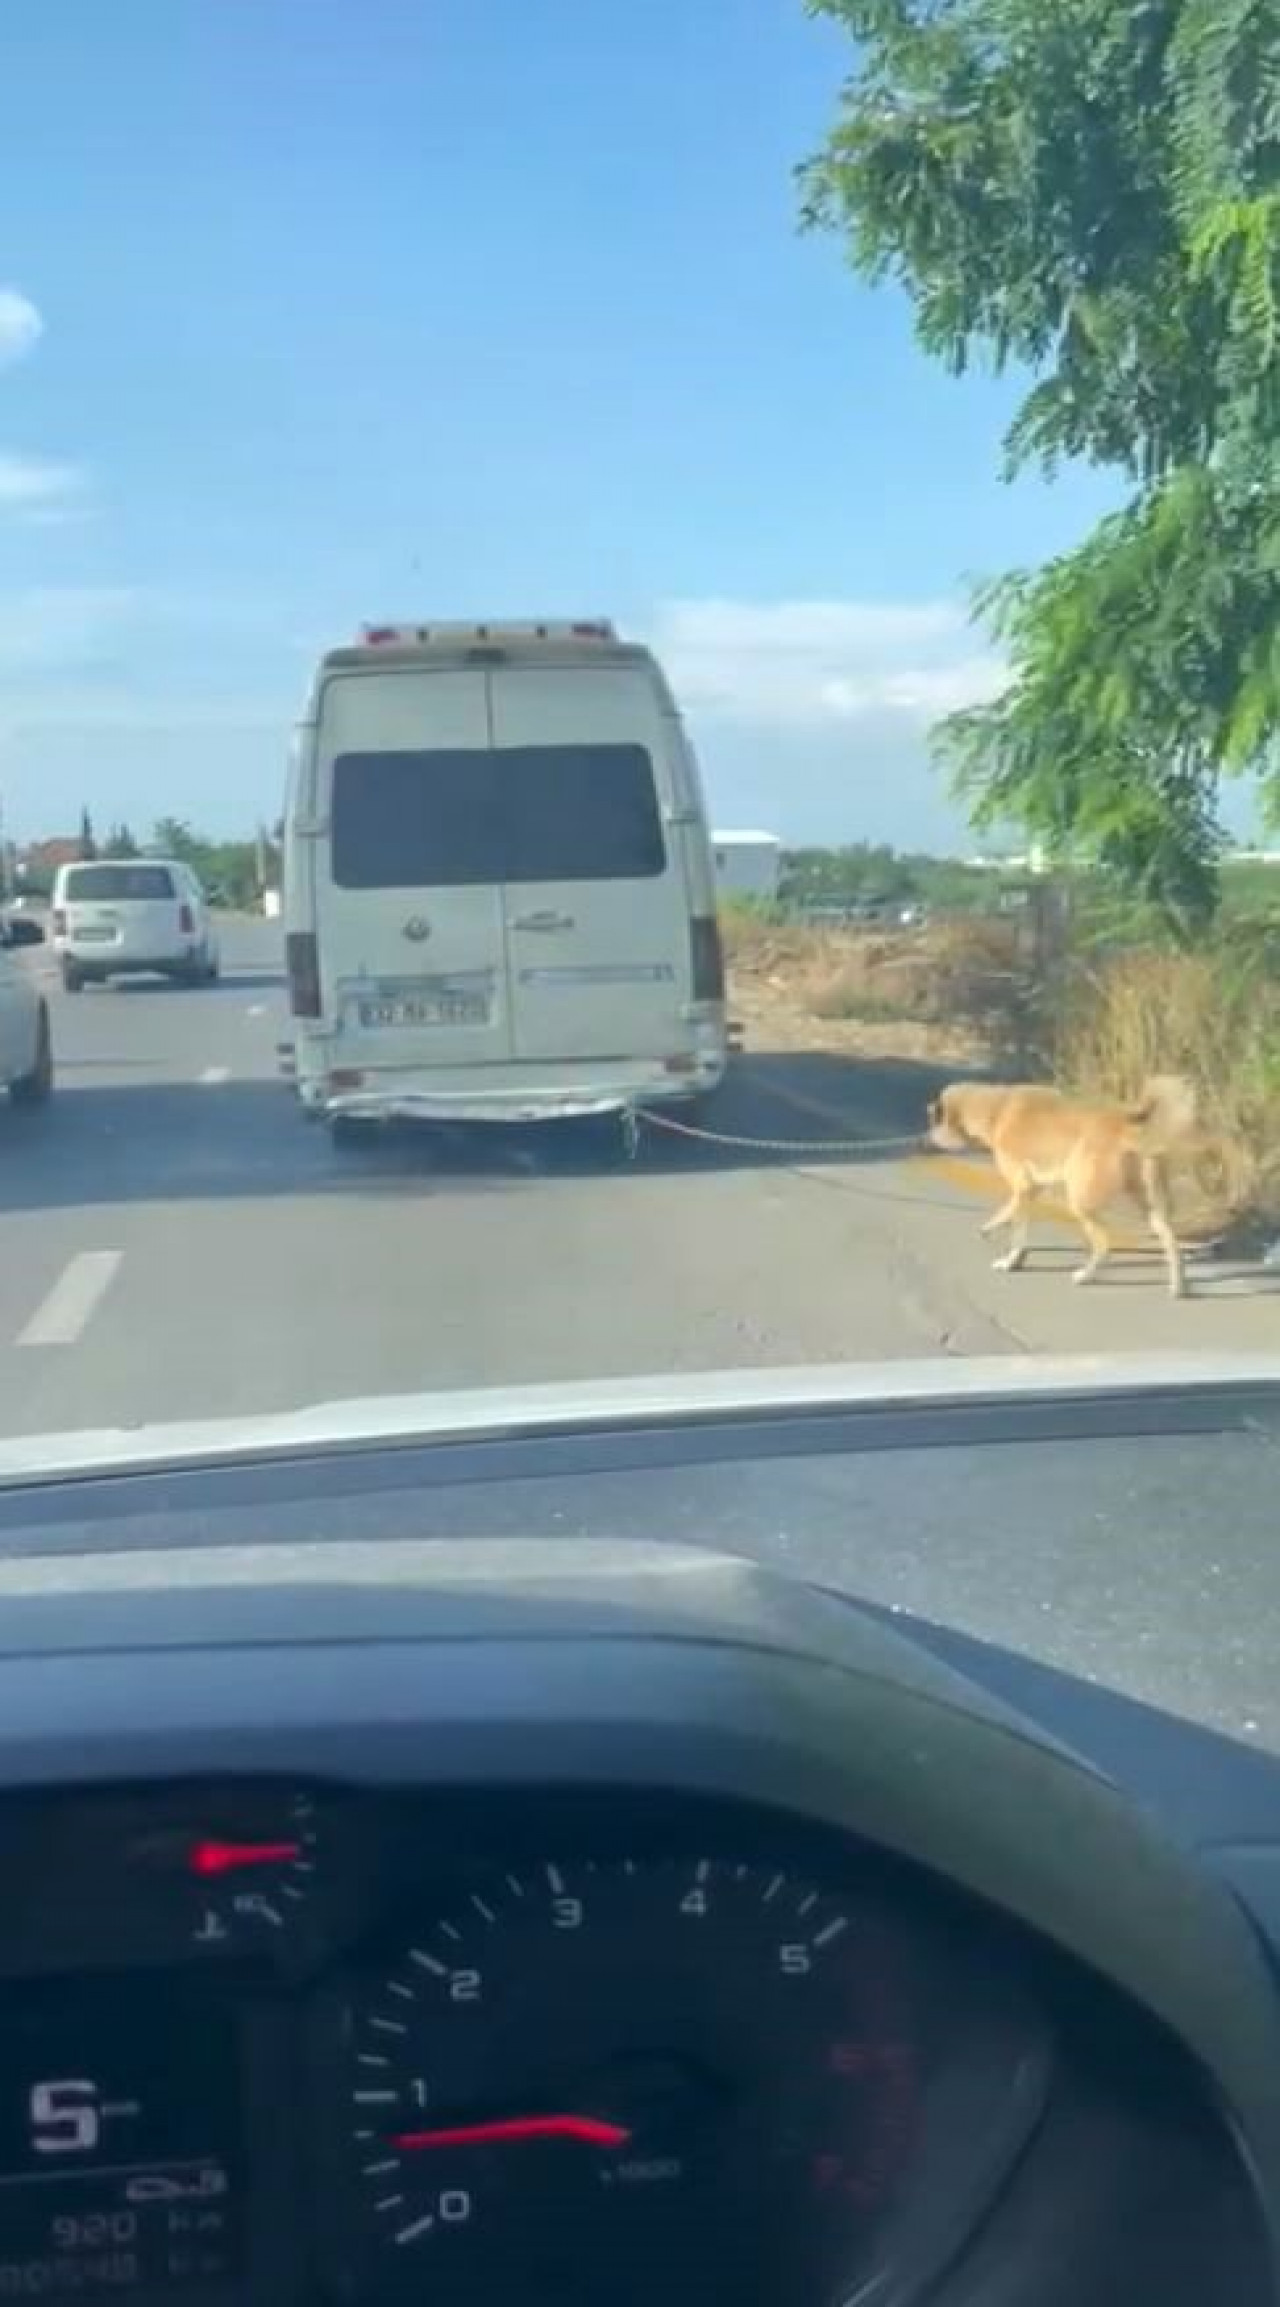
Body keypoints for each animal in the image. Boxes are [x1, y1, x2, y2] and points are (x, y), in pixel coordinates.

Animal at [931, 1075, 1199, 1301]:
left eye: (934, 1118)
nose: (926, 1139)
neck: (995, 1111)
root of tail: (1126, 1125)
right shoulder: (1029, 1190)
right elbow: (1006, 1212)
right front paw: (990, 1230)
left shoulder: (1023, 1187)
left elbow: (1017, 1233)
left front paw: (1010, 1262)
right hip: (1150, 1206)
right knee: (1171, 1243)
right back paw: (1179, 1288)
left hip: (1080, 1201)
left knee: (1103, 1243)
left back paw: (1085, 1276)